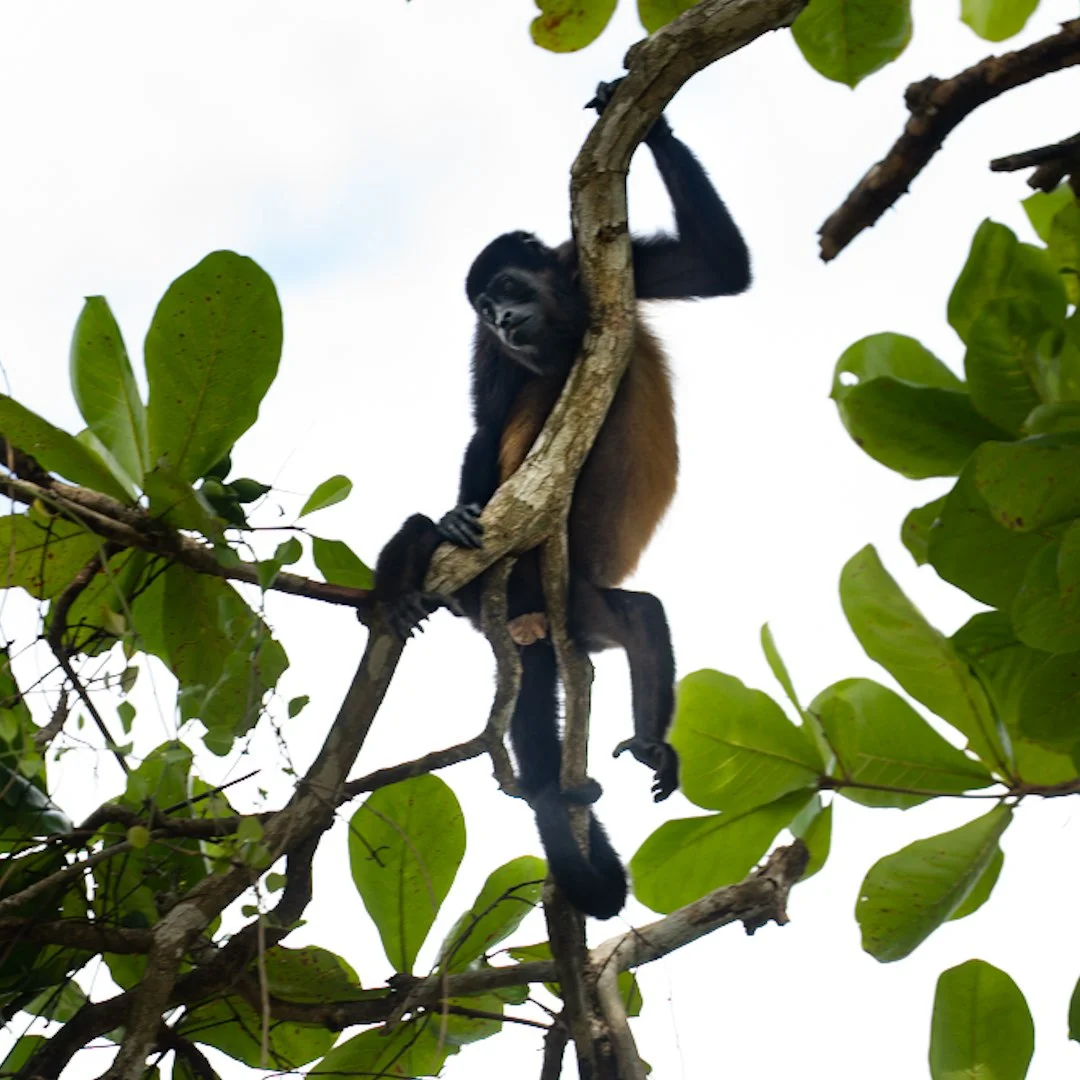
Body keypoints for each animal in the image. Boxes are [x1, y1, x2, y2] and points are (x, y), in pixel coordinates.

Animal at [373, 81, 751, 918]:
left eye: (510, 290)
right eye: (485, 309)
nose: (507, 319)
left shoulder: (610, 266)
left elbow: (719, 265)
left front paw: (647, 115)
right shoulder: (490, 352)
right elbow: (486, 424)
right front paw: (451, 515)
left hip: (581, 605)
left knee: (642, 617)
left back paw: (650, 739)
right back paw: (408, 575)